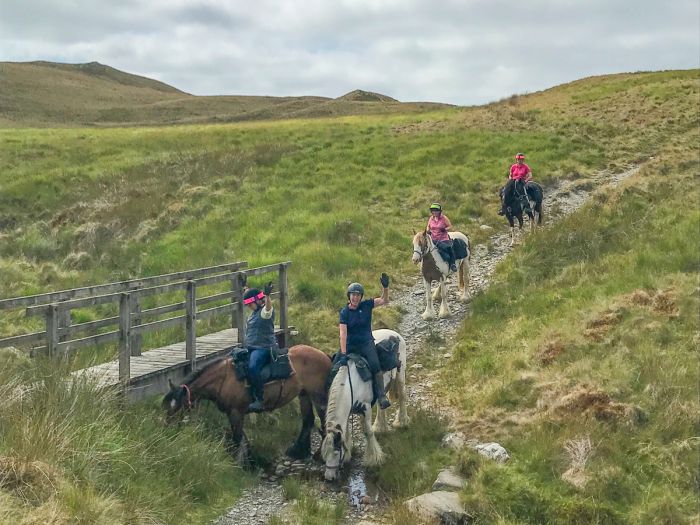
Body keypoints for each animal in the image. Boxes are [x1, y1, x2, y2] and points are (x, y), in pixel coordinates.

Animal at [163, 344, 332, 462]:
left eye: (178, 407)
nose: (167, 431)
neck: (223, 379)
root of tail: (324, 355)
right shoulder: (235, 413)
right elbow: (243, 439)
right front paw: (248, 460)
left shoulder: (236, 412)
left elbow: (237, 439)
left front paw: (237, 464)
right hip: (304, 395)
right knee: (308, 420)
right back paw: (298, 451)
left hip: (318, 396)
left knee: (324, 422)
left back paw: (320, 456)